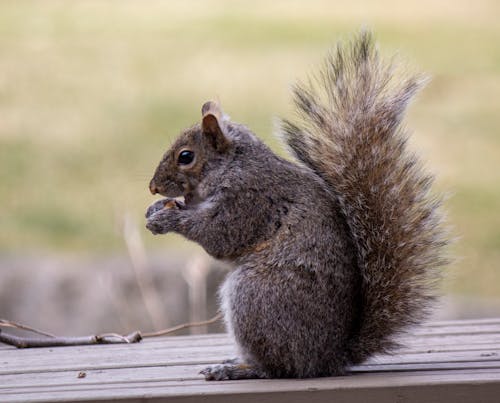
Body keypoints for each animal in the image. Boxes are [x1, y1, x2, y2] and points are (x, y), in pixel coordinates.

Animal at [146, 32, 450, 382]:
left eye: (185, 157)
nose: (152, 186)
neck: (234, 164)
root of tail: (327, 358)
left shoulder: (250, 199)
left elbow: (219, 235)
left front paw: (166, 219)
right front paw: (156, 209)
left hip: (256, 297)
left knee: (279, 368)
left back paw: (238, 369)